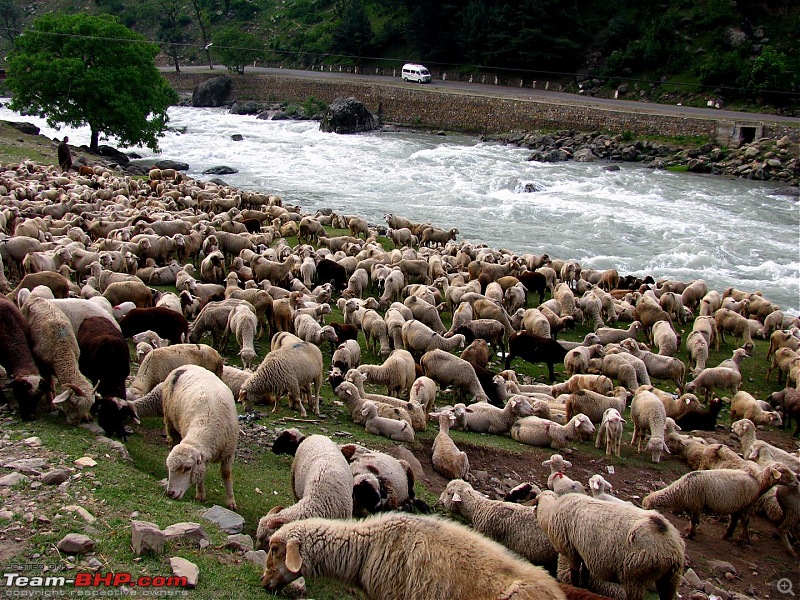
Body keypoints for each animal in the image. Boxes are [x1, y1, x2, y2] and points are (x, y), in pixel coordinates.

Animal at [161, 364, 238, 508]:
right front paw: (200, 495)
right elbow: (201, 474)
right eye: (169, 468)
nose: (170, 493)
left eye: (187, 468)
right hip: (169, 419)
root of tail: (186, 366)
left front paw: (231, 501)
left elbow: (226, 474)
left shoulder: (229, 453)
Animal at [536, 490, 684, 600]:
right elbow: (585, 574)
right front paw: (585, 587)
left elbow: (575, 576)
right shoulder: (585, 553)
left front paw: (577, 588)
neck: (549, 512)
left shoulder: (572, 552)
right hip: (671, 578)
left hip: (635, 577)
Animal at [640, 460, 796, 544]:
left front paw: (690, 534)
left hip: (744, 505)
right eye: (784, 472)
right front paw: (689, 531)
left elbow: (694, 520)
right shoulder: (692, 505)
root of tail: (756, 481)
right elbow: (692, 520)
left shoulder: (695, 504)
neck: (678, 491)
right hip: (740, 505)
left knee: (744, 522)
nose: (796, 482)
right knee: (739, 521)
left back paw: (740, 540)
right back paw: (732, 536)